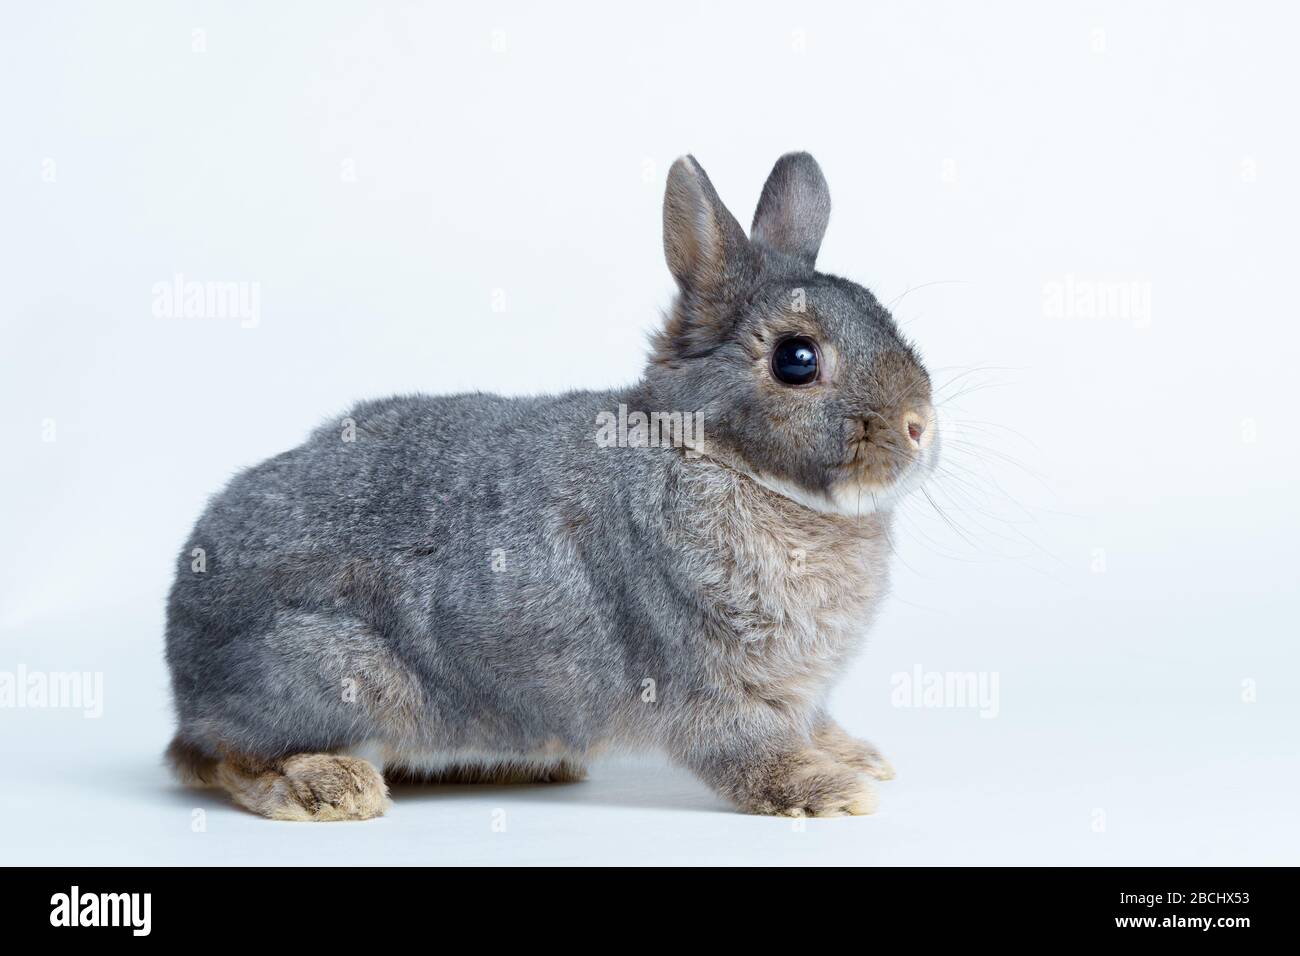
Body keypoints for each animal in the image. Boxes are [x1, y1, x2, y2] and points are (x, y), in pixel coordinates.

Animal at [165, 153, 935, 816]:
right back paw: (330, 788)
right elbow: (748, 751)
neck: (714, 455)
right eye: (796, 359)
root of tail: (183, 673)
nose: (920, 425)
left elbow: (815, 721)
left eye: (883, 316)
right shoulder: (704, 682)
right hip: (338, 677)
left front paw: (859, 758)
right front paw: (831, 790)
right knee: (223, 761)